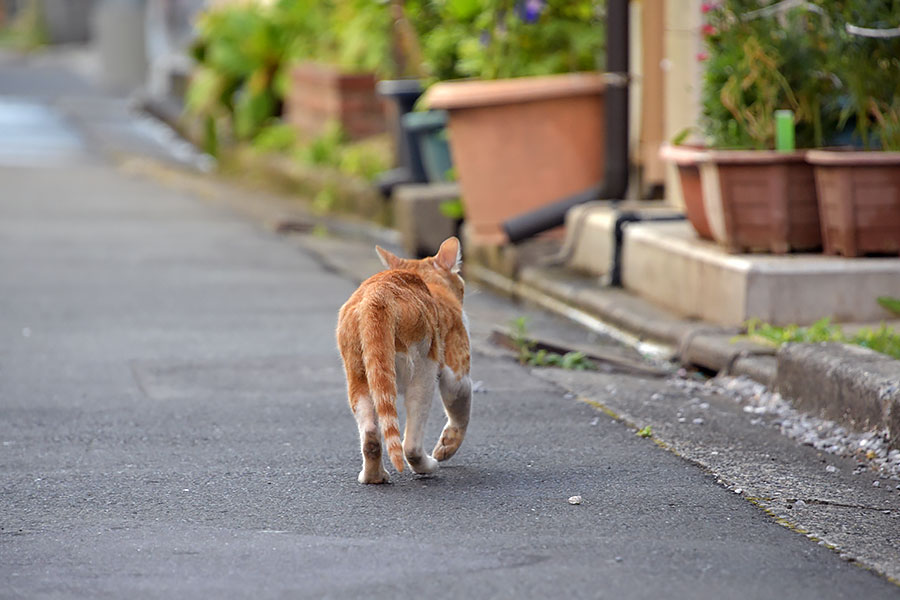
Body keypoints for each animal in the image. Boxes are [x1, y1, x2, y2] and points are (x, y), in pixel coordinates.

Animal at [338, 237, 474, 486]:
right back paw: (427, 466)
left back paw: (374, 476)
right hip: (423, 372)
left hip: (357, 374)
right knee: (410, 444)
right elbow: (460, 413)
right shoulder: (457, 372)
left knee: (370, 435)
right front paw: (447, 447)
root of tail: (378, 295)